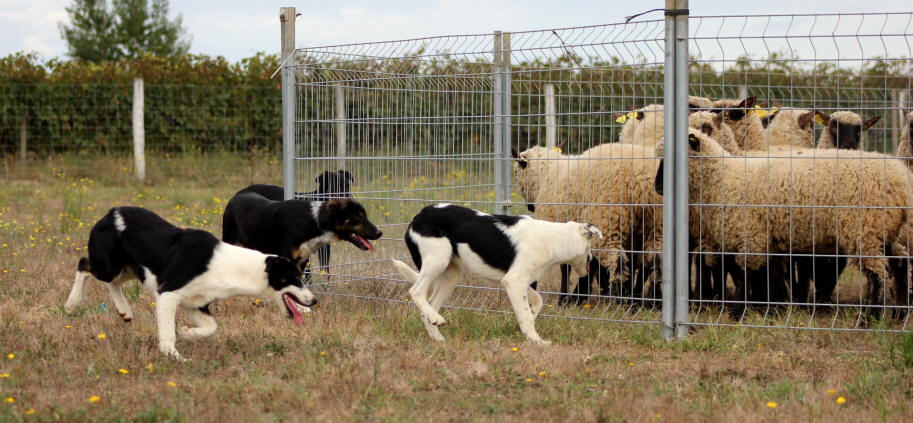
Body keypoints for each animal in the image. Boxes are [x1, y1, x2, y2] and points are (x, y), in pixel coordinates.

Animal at [62, 207, 316, 360]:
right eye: (294, 278)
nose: (314, 300)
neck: (226, 266)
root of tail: (110, 213)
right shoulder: (168, 294)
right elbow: (167, 334)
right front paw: (174, 356)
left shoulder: (194, 303)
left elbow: (211, 327)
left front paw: (186, 332)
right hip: (109, 266)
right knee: (83, 264)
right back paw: (72, 303)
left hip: (129, 270)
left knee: (110, 283)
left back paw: (124, 311)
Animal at [390, 204, 600, 346]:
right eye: (589, 247)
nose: (593, 259)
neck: (552, 238)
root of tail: (419, 216)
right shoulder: (514, 281)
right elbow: (525, 315)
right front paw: (536, 341)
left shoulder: (519, 281)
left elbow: (536, 303)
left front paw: (530, 320)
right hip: (437, 260)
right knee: (416, 291)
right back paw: (435, 320)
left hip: (450, 274)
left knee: (429, 306)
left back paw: (437, 333)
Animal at [512, 144, 664, 304]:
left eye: (516, 172)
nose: (530, 207)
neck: (546, 175)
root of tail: (641, 176)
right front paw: (583, 293)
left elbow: (565, 268)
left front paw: (566, 298)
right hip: (654, 224)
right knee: (654, 261)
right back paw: (650, 300)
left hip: (608, 220)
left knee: (618, 263)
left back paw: (621, 300)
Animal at [656, 131, 912, 316]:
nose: (658, 188)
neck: (724, 178)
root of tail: (901, 178)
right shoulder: (766, 239)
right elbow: (767, 274)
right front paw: (769, 309)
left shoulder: (751, 234)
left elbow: (744, 275)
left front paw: (738, 313)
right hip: (885, 231)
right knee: (896, 265)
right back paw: (896, 313)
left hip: (863, 229)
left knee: (878, 273)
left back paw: (870, 318)